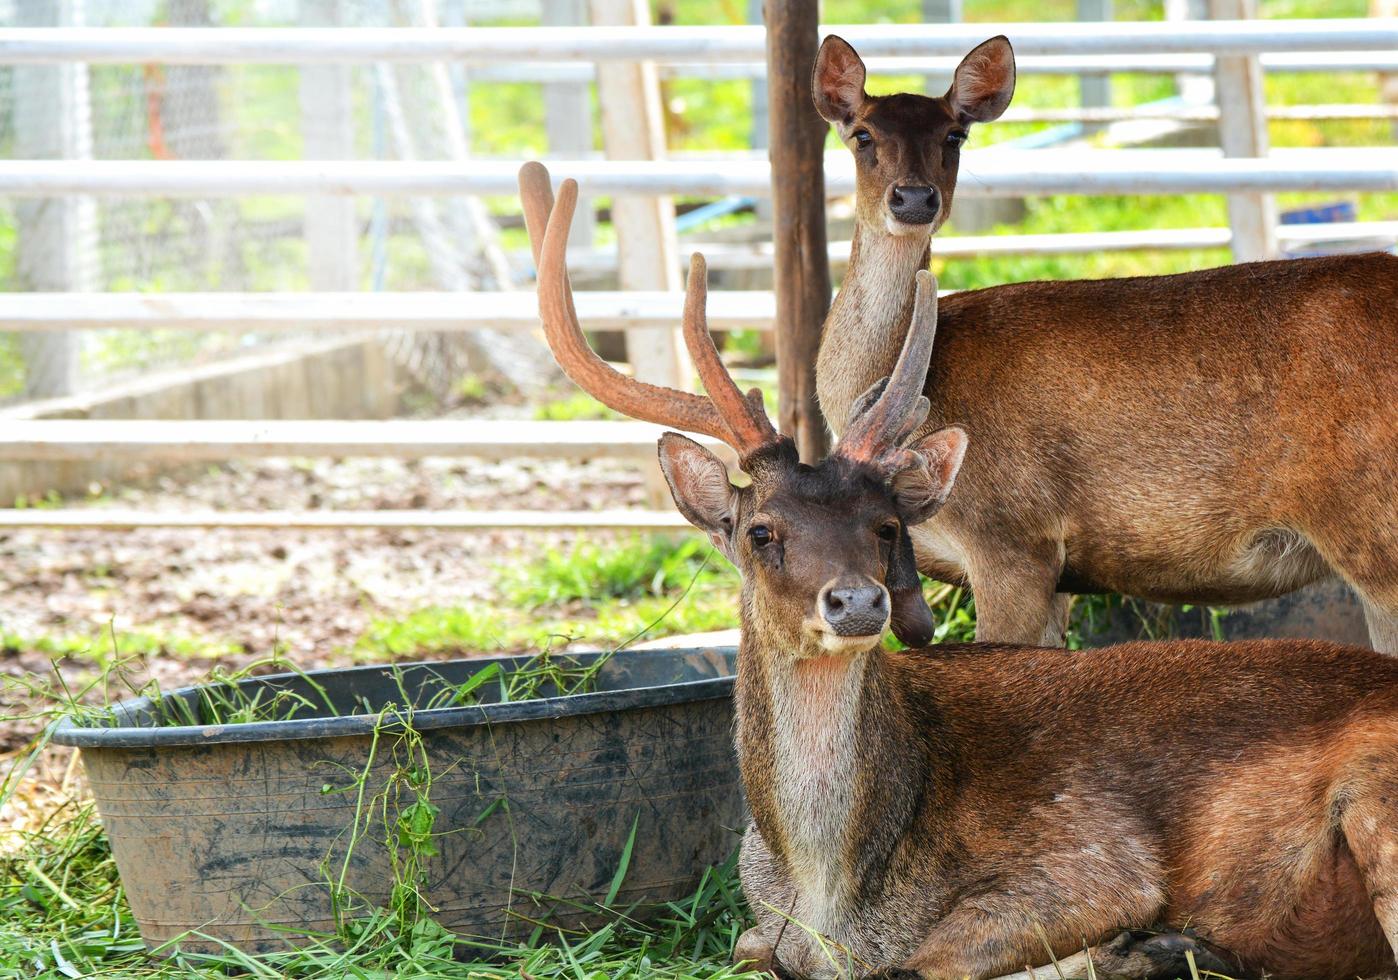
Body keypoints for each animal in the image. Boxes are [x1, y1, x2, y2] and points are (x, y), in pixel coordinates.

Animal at [517, 162, 1398, 978]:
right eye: (761, 530)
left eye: (883, 525)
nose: (857, 602)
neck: (831, 894)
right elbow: (748, 946)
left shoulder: (1094, 858)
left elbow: (932, 958)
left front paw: (1130, 948)